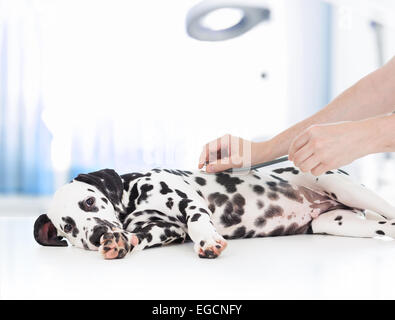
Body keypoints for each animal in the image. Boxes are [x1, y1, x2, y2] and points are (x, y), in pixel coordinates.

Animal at [33, 166, 395, 258]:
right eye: (67, 228)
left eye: (89, 203)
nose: (96, 235)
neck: (135, 196)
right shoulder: (164, 230)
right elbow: (141, 235)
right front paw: (120, 242)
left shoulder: (191, 206)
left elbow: (197, 223)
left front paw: (208, 241)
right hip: (339, 223)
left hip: (339, 184)